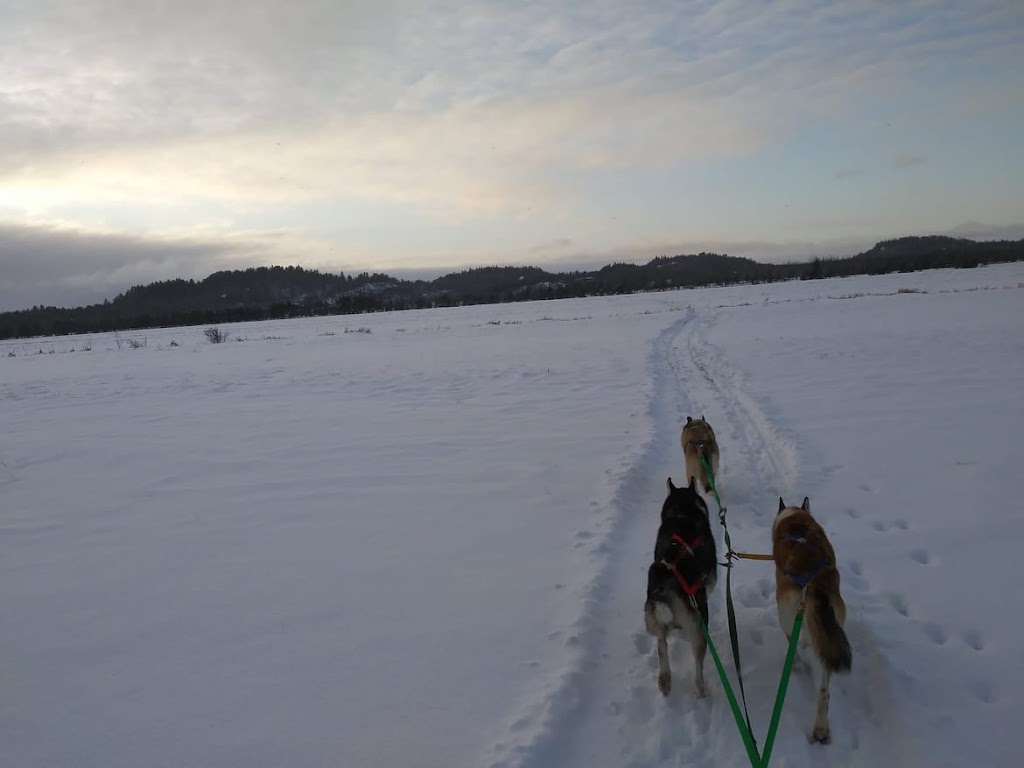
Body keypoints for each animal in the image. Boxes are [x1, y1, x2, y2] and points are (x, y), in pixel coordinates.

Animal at [643, 475, 716, 696]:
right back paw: (702, 690)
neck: (683, 513)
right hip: (700, 627)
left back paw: (665, 680)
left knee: (661, 645)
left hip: (654, 618)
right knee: (698, 670)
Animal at [770, 499, 851, 745]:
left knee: (792, 642)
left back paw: (795, 663)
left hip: (785, 615)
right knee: (824, 693)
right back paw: (821, 729)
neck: (796, 518)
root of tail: (815, 584)